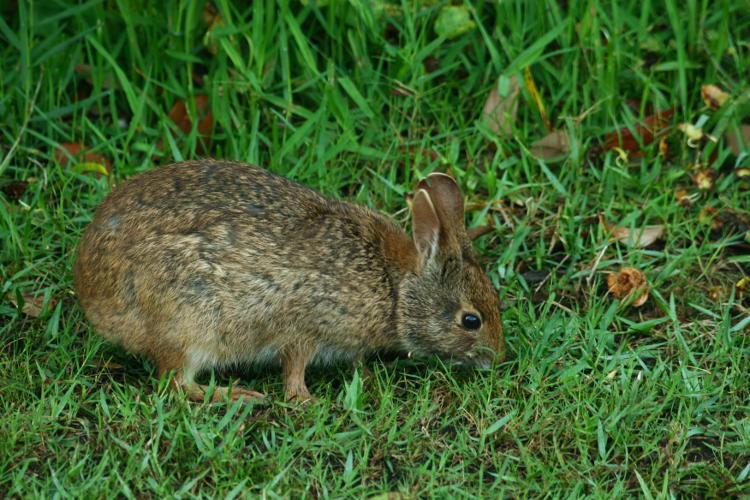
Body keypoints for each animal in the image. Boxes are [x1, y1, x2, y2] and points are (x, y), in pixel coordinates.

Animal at [73, 160, 508, 402]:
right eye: (471, 320)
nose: (497, 358)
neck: (395, 289)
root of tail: (92, 296)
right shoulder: (306, 325)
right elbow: (294, 368)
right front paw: (306, 401)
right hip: (190, 325)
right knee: (178, 384)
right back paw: (242, 397)